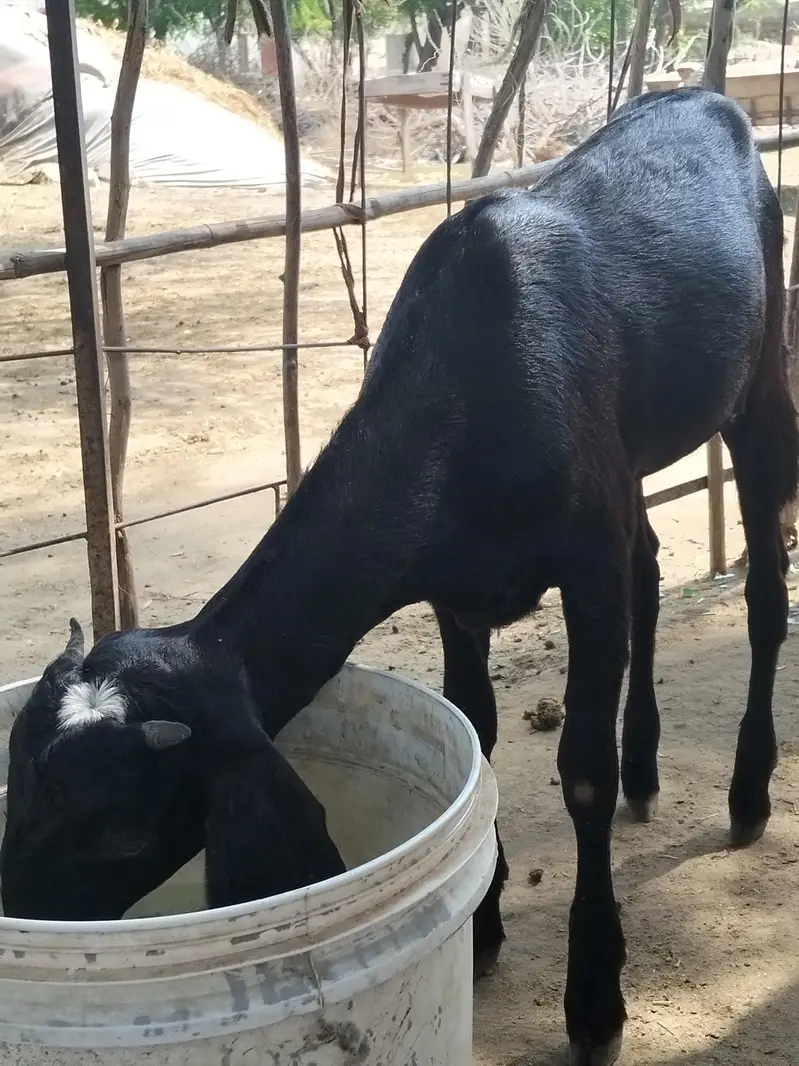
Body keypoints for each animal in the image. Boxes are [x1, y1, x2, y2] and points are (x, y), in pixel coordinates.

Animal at [2, 87, 797, 1066]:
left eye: (125, 830)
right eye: (17, 789)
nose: (26, 915)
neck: (468, 391)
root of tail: (707, 98)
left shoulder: (584, 563)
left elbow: (580, 769)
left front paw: (594, 1000)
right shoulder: (458, 587)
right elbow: (480, 733)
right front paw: (484, 924)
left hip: (760, 382)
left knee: (763, 589)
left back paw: (746, 791)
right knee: (650, 565)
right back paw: (648, 768)